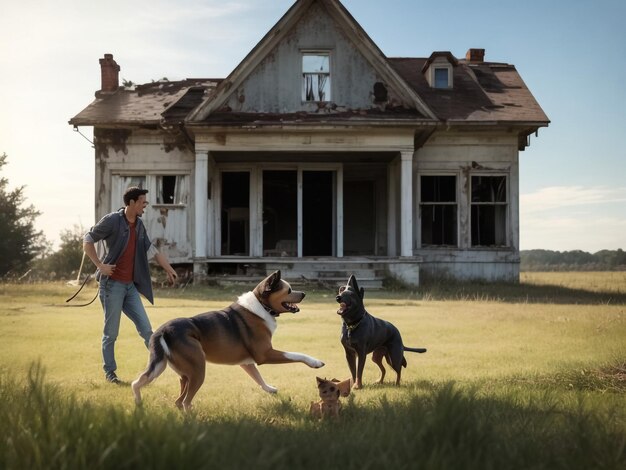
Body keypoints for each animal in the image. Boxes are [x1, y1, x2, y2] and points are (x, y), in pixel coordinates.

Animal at [133, 270, 324, 410]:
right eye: (289, 290)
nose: (304, 293)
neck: (262, 306)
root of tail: (164, 331)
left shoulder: (247, 362)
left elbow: (258, 377)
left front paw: (270, 389)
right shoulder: (265, 354)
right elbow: (295, 354)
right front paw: (315, 362)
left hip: (169, 369)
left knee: (145, 385)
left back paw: (139, 403)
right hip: (197, 370)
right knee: (185, 401)